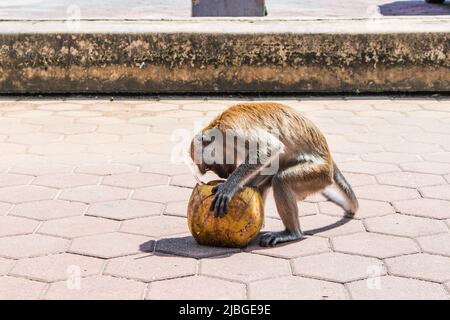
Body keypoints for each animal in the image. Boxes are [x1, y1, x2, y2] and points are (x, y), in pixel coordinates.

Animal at [190, 101, 358, 246]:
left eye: (209, 167)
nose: (223, 175)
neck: (217, 128)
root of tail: (328, 160)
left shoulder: (231, 131)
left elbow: (269, 148)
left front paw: (229, 187)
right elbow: (271, 161)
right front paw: (241, 185)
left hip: (319, 175)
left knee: (282, 180)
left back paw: (292, 233)